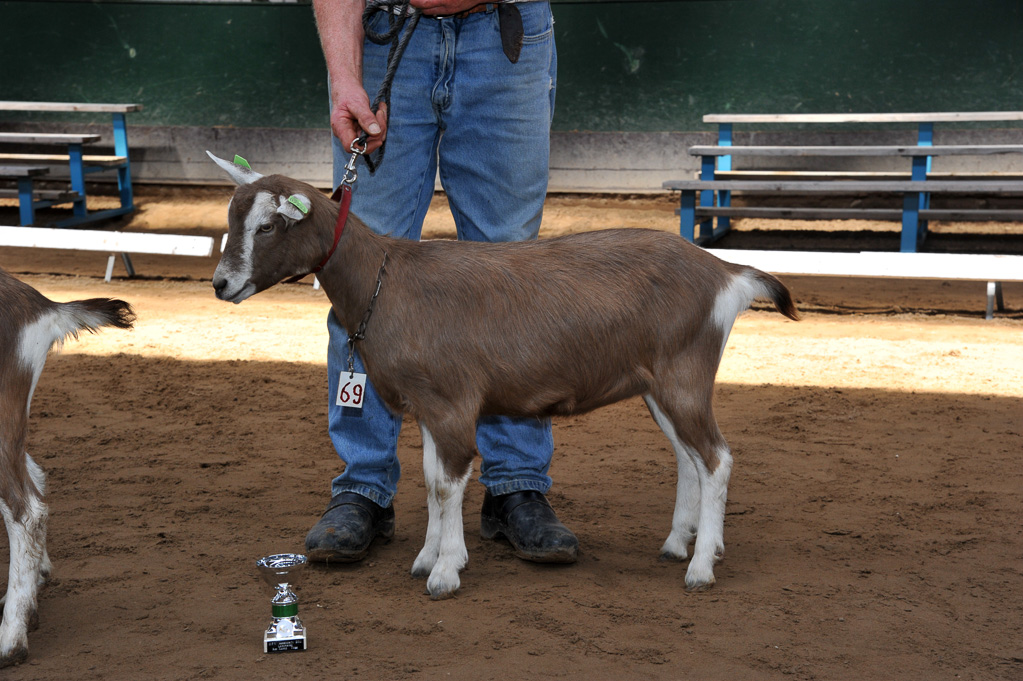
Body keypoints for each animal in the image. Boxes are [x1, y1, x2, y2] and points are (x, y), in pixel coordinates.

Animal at [207, 151, 797, 597]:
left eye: (267, 226)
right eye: (233, 222)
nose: (220, 284)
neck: (385, 281)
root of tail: (724, 273)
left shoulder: (451, 403)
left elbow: (446, 485)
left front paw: (445, 572)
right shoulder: (428, 407)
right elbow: (430, 482)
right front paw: (430, 557)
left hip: (685, 376)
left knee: (717, 459)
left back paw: (701, 567)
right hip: (660, 385)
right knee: (688, 459)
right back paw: (681, 544)